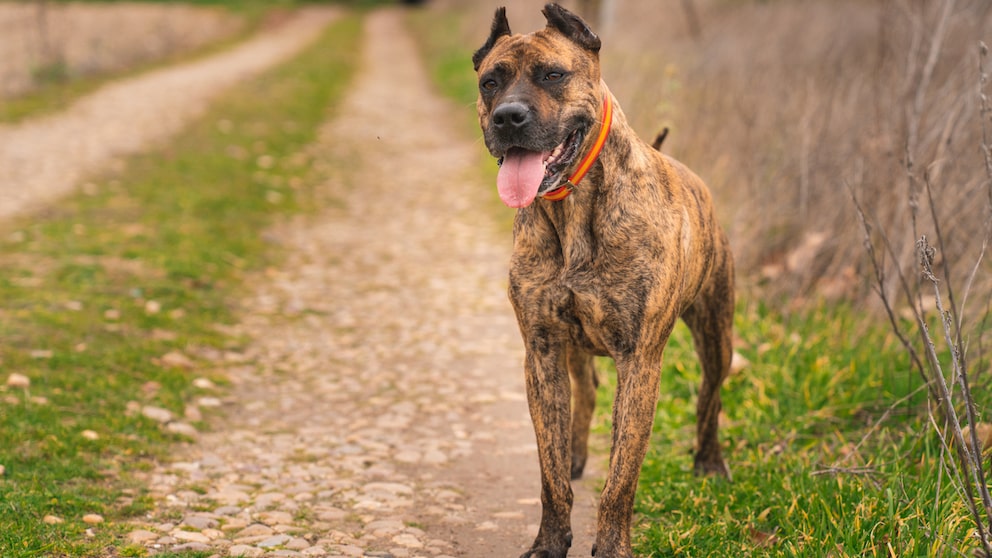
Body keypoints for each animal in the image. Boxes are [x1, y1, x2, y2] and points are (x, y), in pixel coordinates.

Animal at [472, 4, 736, 558]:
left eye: (553, 75)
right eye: (490, 82)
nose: (508, 116)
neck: (572, 208)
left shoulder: (639, 361)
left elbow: (622, 478)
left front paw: (612, 544)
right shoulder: (542, 351)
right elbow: (549, 473)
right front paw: (550, 541)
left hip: (716, 330)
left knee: (711, 393)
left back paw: (709, 461)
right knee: (587, 391)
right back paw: (576, 455)